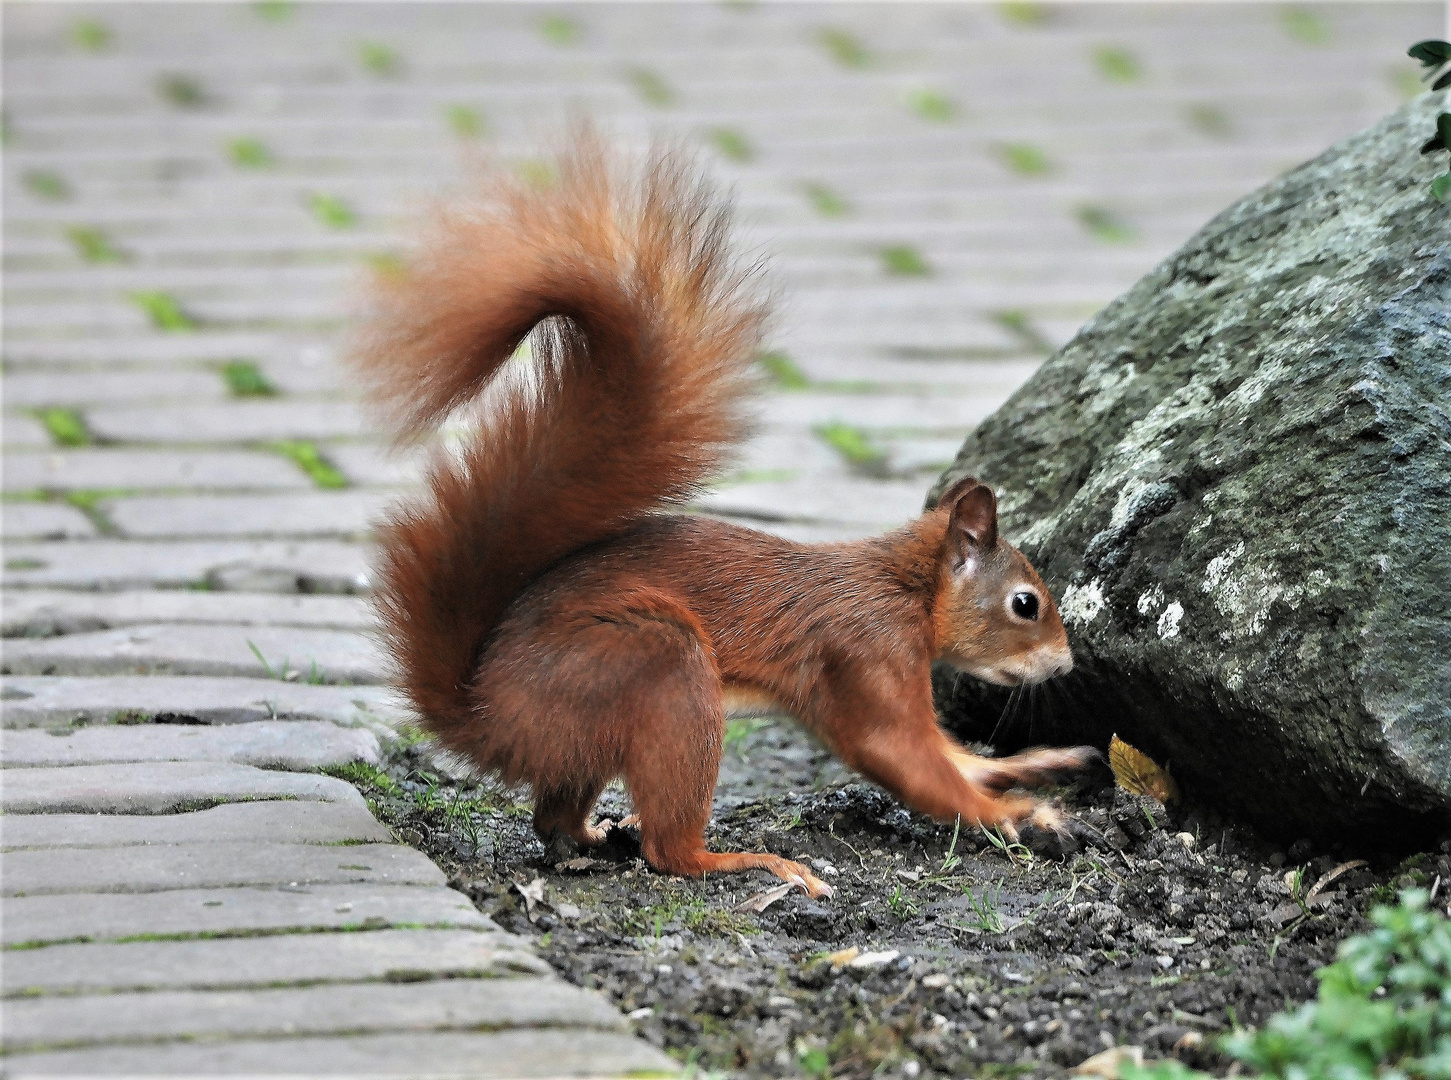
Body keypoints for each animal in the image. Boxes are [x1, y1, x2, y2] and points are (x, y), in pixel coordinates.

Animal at [348, 135, 1091, 900]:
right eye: (1026, 603)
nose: (1067, 664)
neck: (904, 590)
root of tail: (484, 717)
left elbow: (947, 755)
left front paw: (1025, 765)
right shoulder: (866, 656)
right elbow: (904, 758)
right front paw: (1014, 815)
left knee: (552, 820)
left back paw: (597, 836)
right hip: (659, 672)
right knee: (668, 851)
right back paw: (743, 861)